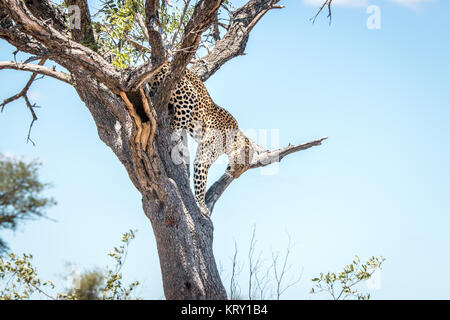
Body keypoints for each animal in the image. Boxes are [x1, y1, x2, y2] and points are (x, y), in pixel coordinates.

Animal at [148, 62, 256, 212]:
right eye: (241, 165)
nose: (234, 176)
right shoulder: (203, 159)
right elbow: (201, 183)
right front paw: (203, 206)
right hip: (189, 95)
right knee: (174, 128)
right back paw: (180, 146)